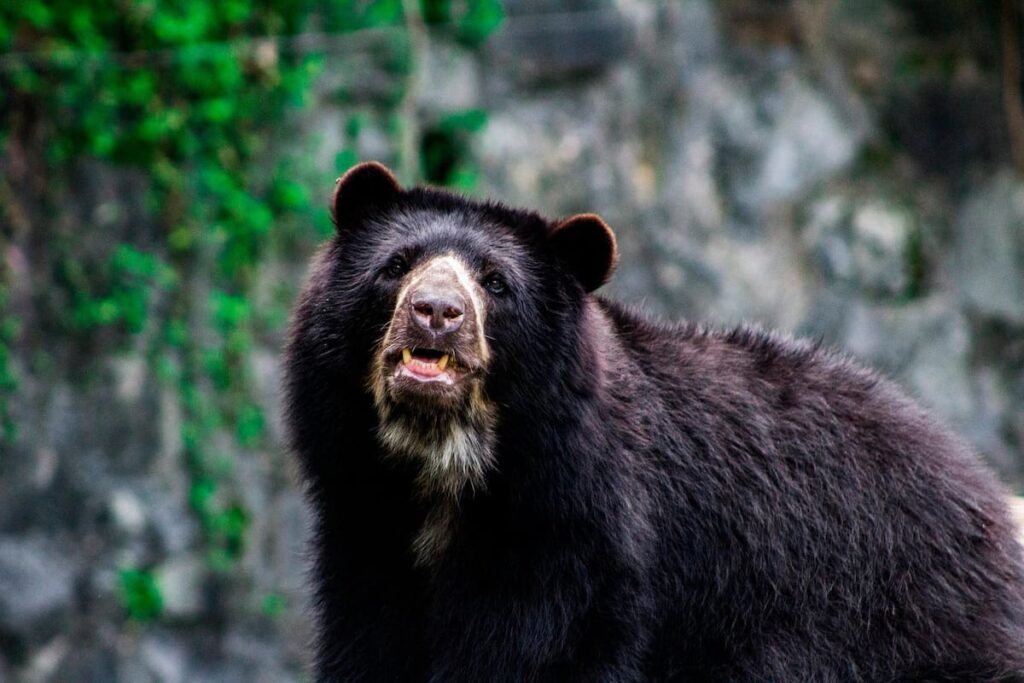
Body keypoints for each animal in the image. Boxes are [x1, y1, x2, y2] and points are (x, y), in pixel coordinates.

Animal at [283, 161, 1024, 682]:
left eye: (495, 282)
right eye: (397, 265)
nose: (437, 312)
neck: (447, 473)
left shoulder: (576, 541)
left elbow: (538, 653)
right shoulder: (366, 526)